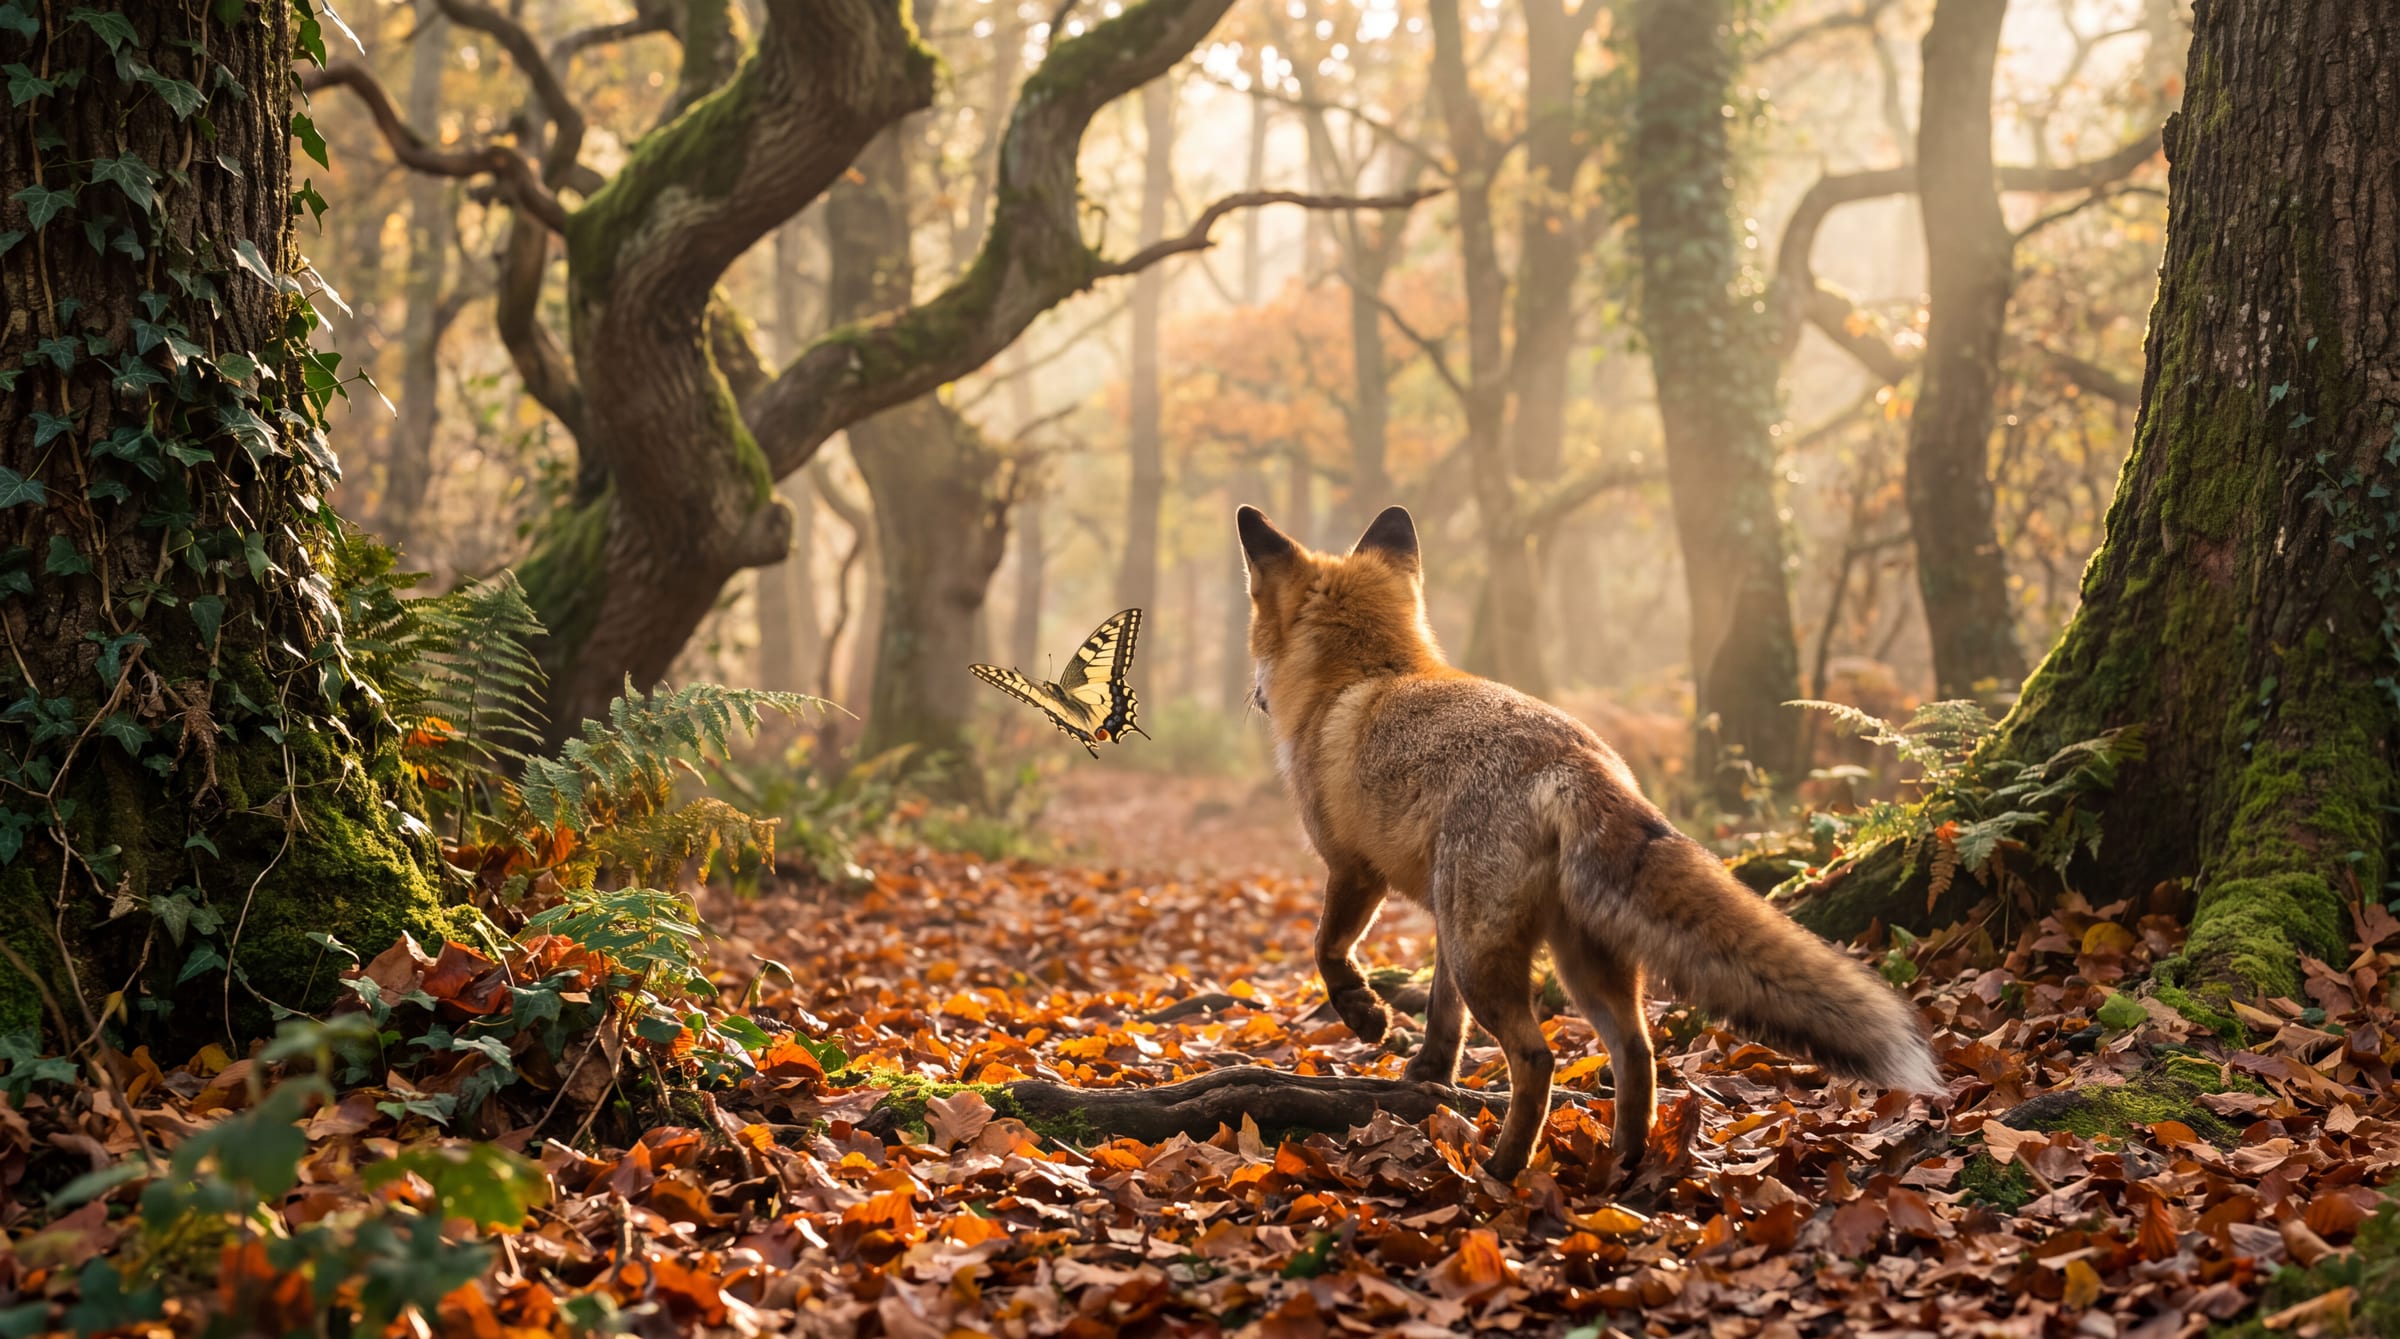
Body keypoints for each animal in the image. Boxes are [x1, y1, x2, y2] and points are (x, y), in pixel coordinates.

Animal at [1238, 503, 1943, 1180]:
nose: (1254, 698)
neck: (1366, 674)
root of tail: (1576, 758)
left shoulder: (1352, 868)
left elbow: (1328, 950)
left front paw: (1365, 1014)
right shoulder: (1441, 919)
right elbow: (1443, 1015)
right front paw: (1429, 1075)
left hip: (1491, 958)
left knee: (1537, 1057)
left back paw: (1502, 1169)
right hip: (1574, 958)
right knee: (1637, 1050)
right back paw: (1623, 1165)